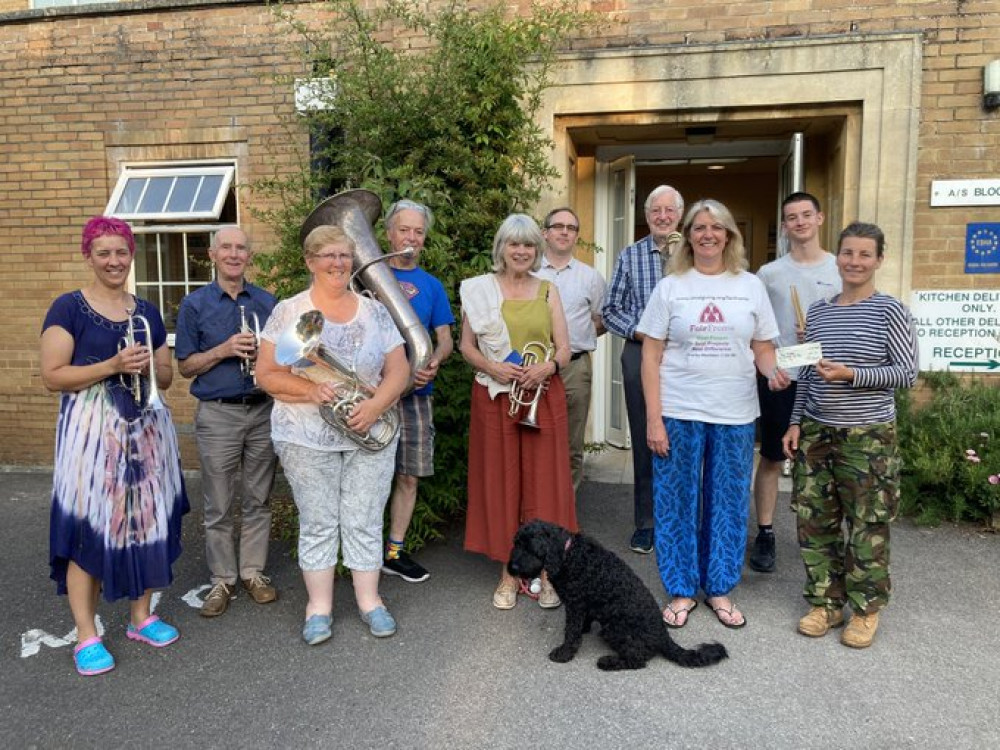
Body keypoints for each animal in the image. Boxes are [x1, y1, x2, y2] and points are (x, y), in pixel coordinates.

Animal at [508, 520, 728, 672]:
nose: (512, 568)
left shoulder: (575, 605)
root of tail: (663, 636)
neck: (568, 553)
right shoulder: (583, 604)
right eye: (516, 543)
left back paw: (608, 661)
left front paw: (564, 653)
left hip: (614, 629)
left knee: (638, 659)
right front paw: (584, 630)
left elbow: (571, 633)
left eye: (531, 548)